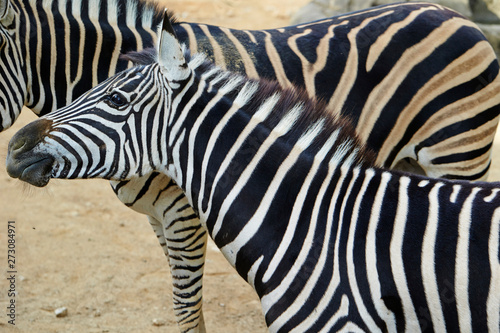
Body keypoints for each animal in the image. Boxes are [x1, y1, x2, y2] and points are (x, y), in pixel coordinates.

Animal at [2, 0, 500, 328]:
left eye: (118, 100)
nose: (15, 148)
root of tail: (454, 15)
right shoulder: (158, 218)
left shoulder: (184, 213)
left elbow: (186, 306)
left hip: (458, 152)